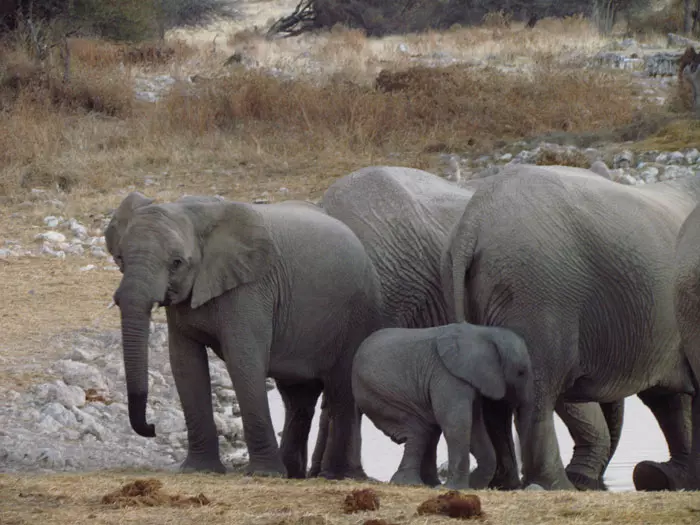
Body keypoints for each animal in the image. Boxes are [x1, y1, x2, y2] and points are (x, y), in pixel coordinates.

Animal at [104, 191, 382, 478]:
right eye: (120, 259)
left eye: (176, 263)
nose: (152, 428)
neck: (194, 211)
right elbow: (185, 364)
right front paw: (199, 470)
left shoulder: (250, 288)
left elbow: (243, 360)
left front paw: (264, 474)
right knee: (298, 397)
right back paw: (293, 473)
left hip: (358, 311)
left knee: (342, 389)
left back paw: (338, 475)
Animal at [352, 322, 532, 490]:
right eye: (521, 372)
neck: (484, 333)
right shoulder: (448, 375)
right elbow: (457, 423)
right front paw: (456, 489)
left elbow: (475, 426)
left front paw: (471, 486)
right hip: (382, 394)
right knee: (418, 431)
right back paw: (410, 483)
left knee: (429, 431)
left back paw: (431, 484)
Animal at [440, 165, 700, 492]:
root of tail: (472, 222)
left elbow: (669, 399)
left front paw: (662, 477)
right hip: (536, 293)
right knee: (535, 394)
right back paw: (557, 485)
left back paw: (509, 483)